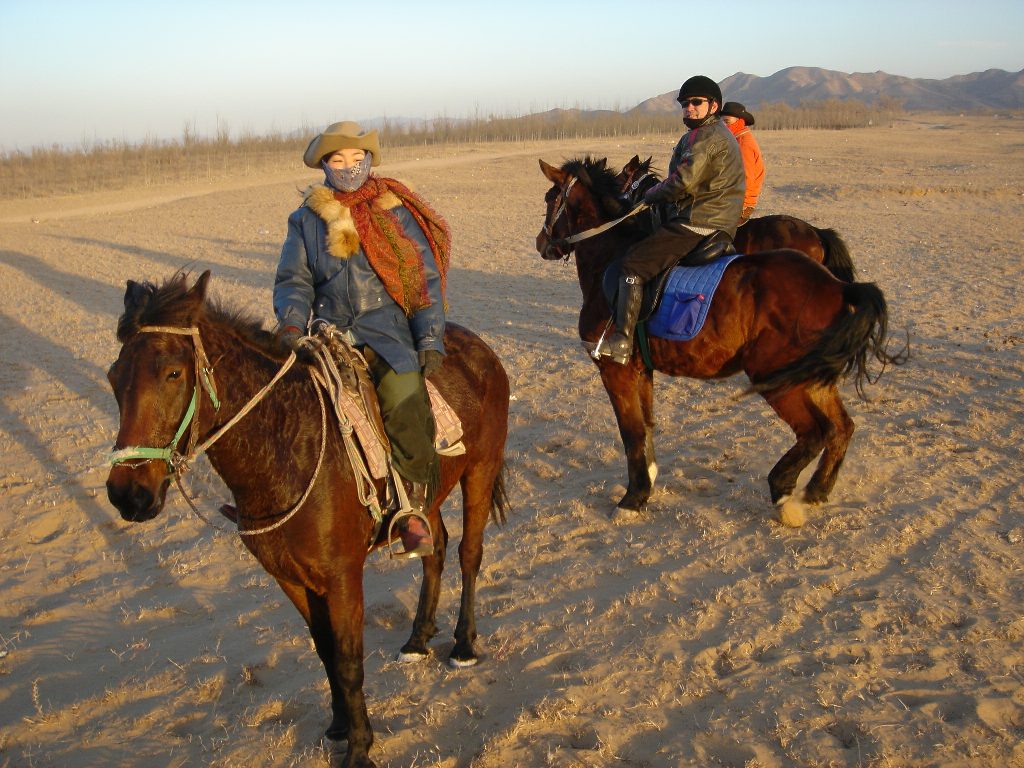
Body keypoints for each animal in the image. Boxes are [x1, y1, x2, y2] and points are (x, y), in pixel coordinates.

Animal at [104, 272, 512, 768]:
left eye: (173, 373)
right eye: (113, 378)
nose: (128, 494)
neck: (286, 443)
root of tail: (478, 347)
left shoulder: (342, 577)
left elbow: (349, 661)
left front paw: (360, 749)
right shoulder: (290, 577)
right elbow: (324, 652)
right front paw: (339, 726)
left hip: (481, 470)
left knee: (470, 553)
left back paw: (464, 645)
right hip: (428, 498)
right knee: (433, 550)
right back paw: (418, 639)